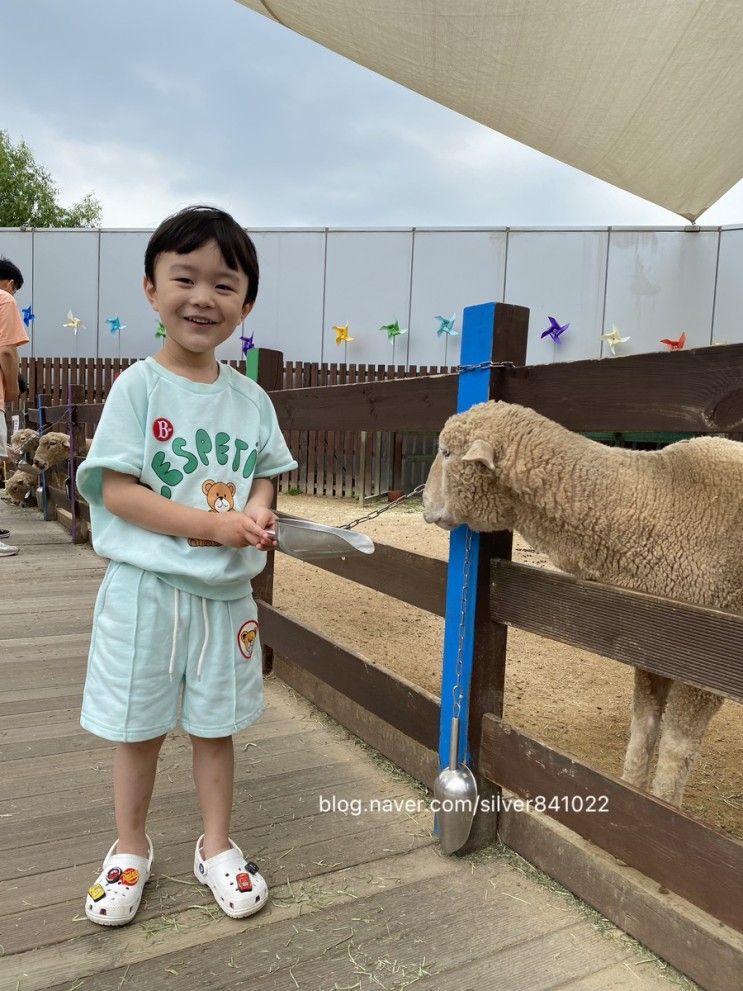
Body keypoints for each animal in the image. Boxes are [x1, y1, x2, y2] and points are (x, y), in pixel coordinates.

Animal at [422, 402, 740, 808]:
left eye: (447, 453)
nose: (426, 507)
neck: (660, 499)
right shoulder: (654, 646)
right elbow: (644, 726)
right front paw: (633, 794)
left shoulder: (703, 657)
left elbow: (676, 748)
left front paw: (664, 808)